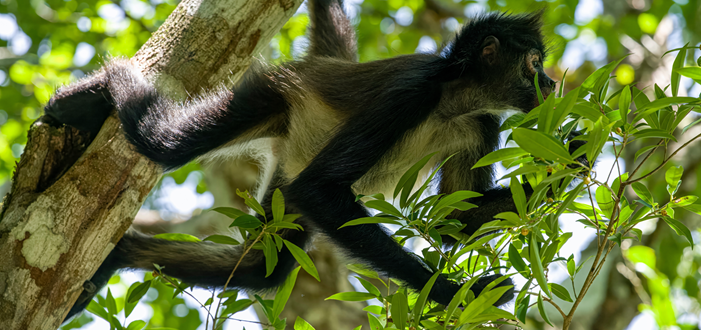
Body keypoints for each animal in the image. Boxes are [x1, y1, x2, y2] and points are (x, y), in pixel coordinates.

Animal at [45, 0, 568, 320]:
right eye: (534, 64)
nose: (551, 84)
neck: (453, 98)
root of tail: (323, 65)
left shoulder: (482, 123)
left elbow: (453, 226)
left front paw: (573, 159)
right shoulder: (411, 93)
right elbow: (321, 190)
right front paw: (455, 294)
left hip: (283, 179)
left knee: (264, 268)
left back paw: (118, 255)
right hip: (274, 94)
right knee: (165, 143)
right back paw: (104, 86)